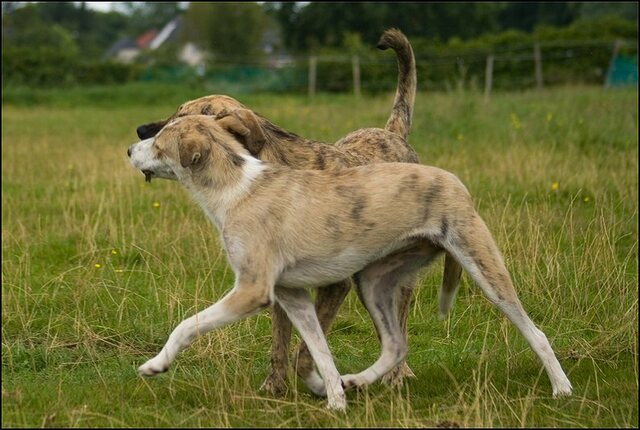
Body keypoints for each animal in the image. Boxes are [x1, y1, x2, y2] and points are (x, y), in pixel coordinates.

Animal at [127, 114, 572, 410]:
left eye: (161, 140)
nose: (129, 148)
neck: (236, 187)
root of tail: (455, 181)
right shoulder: (292, 296)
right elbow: (319, 352)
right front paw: (335, 400)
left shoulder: (253, 290)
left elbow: (187, 325)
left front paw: (155, 365)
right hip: (372, 282)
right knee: (396, 344)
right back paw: (356, 381)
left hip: (483, 267)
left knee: (534, 331)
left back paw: (562, 389)